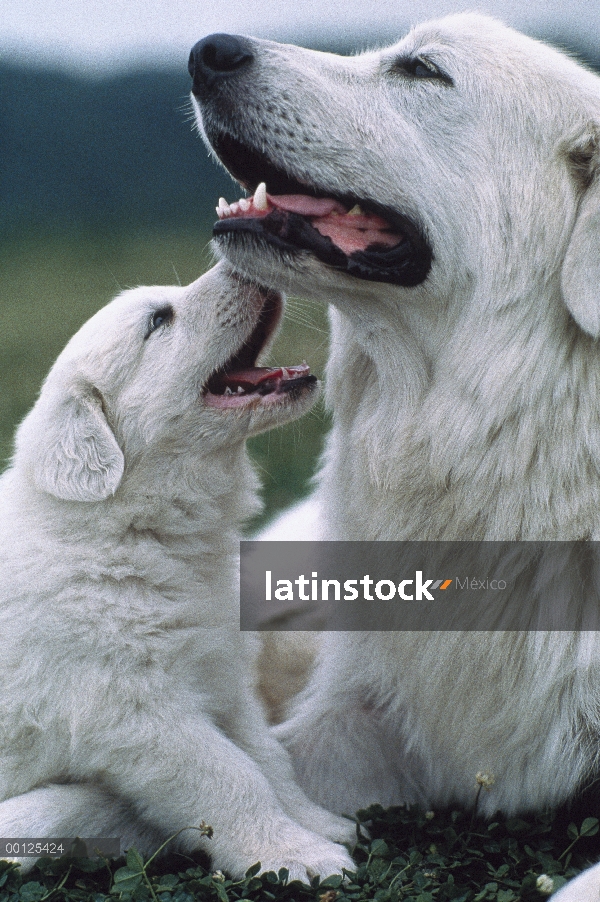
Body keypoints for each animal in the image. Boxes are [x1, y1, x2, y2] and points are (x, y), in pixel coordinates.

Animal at [0, 262, 354, 884]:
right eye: (158, 320)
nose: (239, 265)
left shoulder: (221, 673)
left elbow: (267, 759)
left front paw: (319, 825)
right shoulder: (136, 709)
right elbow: (230, 776)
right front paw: (298, 857)